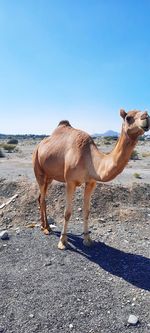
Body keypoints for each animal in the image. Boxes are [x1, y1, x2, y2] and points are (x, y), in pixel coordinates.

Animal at [32, 109, 149, 249]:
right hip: (39, 169)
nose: (146, 117)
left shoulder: (91, 182)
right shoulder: (70, 181)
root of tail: (39, 145)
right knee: (43, 198)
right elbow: (67, 212)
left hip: (49, 176)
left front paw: (87, 239)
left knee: (40, 197)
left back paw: (45, 226)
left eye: (147, 113)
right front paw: (62, 242)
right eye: (128, 118)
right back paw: (46, 228)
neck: (90, 159)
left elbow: (87, 211)